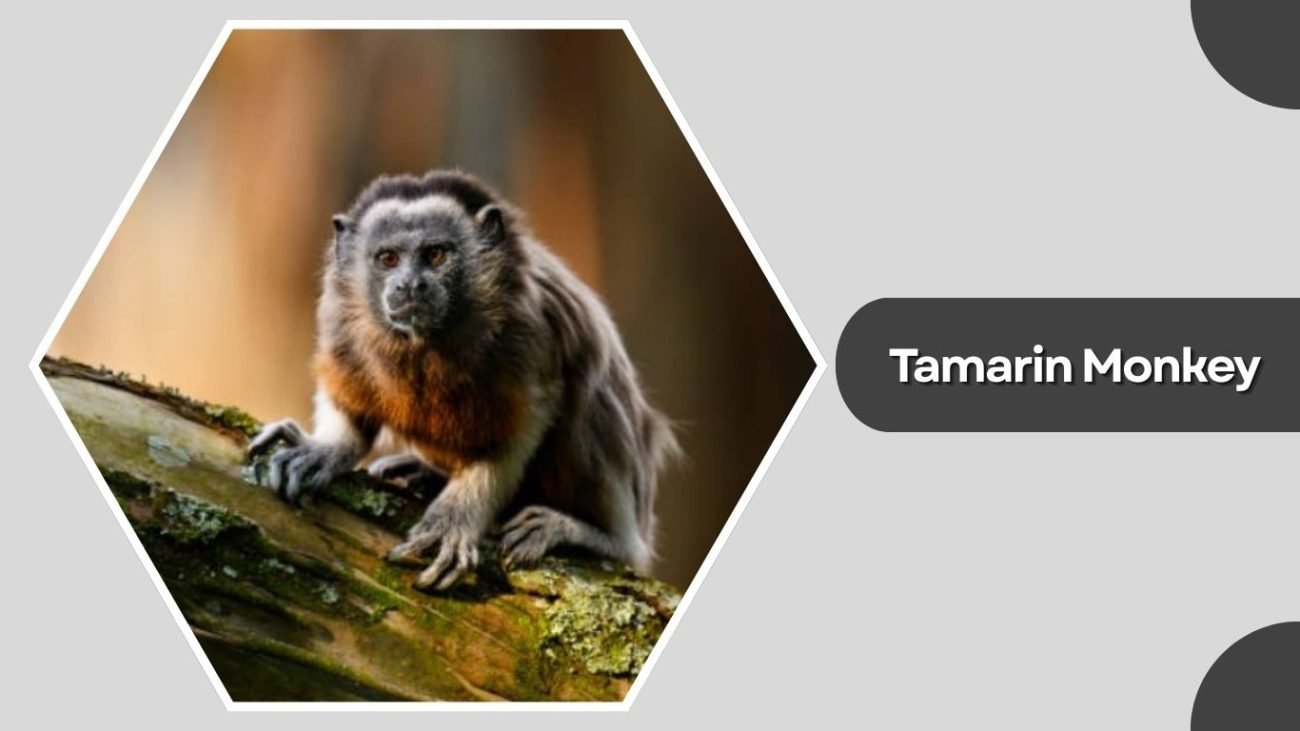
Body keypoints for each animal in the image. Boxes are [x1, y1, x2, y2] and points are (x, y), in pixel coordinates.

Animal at [246, 169, 680, 591]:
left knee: (589, 393)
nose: (409, 285)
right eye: (388, 259)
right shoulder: (339, 317)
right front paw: (328, 448)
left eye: (435, 255)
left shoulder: (532, 331)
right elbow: (349, 399)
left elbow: (522, 427)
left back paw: (600, 537)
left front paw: (454, 520)